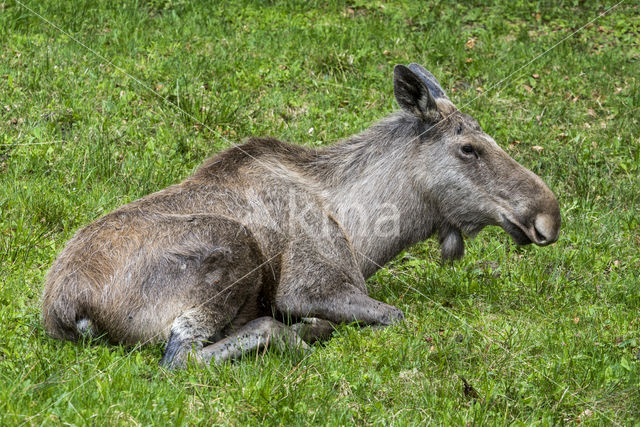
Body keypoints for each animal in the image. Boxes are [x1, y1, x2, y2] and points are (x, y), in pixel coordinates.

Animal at [41, 63, 560, 368]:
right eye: (468, 147)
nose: (548, 215)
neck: (364, 234)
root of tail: (65, 310)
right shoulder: (311, 286)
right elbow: (394, 315)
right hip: (231, 249)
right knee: (181, 359)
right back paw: (292, 334)